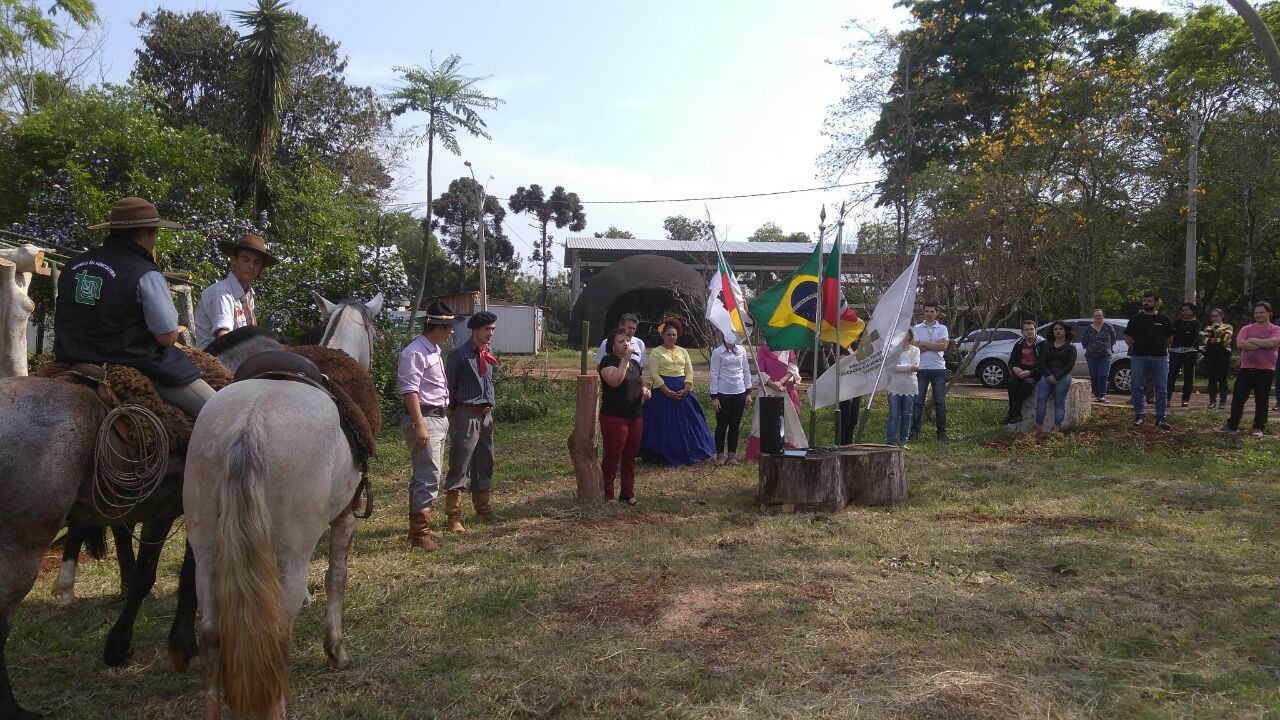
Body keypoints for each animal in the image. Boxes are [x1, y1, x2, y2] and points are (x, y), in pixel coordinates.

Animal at [0, 325, 288, 720]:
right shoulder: (179, 512)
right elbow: (164, 576)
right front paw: (153, 645)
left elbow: (156, 574)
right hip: (22, 547)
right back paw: (13, 707)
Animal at [185, 292, 381, 719]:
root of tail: (248, 428)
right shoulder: (346, 518)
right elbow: (336, 578)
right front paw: (336, 651)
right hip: (291, 554)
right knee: (275, 637)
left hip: (206, 549)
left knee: (209, 634)